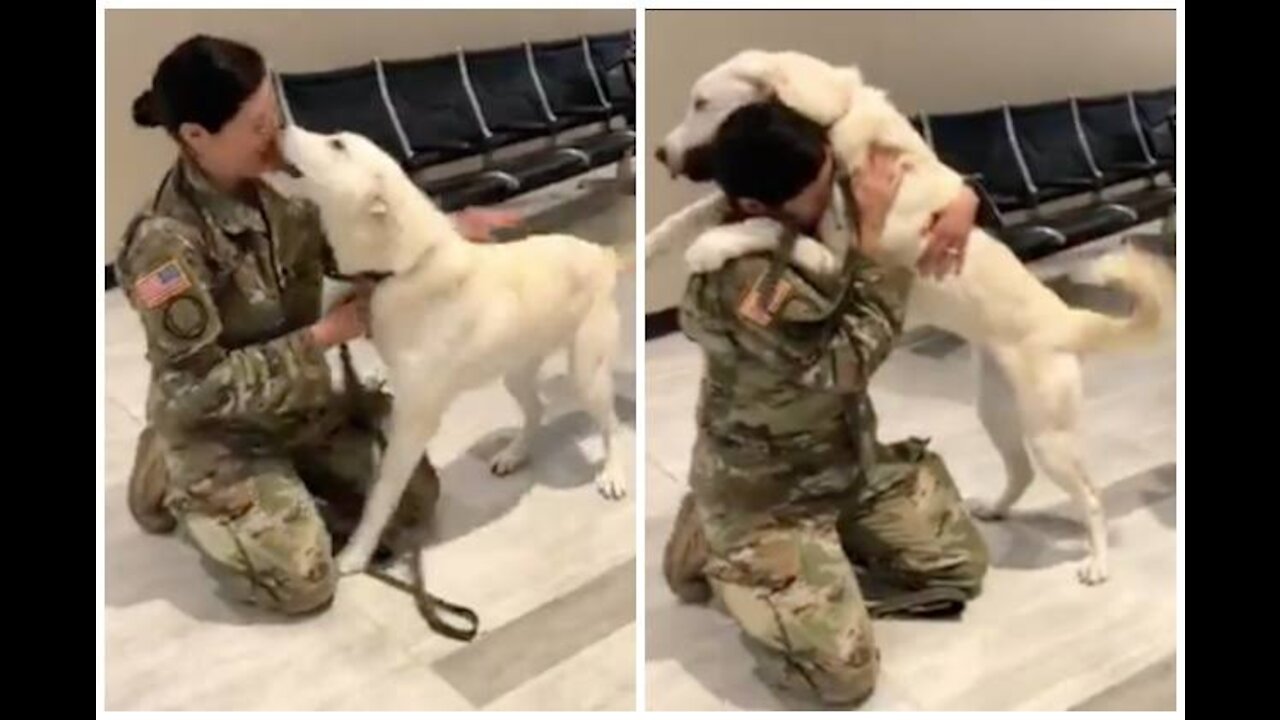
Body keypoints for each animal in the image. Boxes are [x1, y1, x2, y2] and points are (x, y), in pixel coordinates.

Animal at [267, 122, 627, 571]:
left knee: (611, 425)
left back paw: (613, 473)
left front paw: (356, 553)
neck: (400, 267)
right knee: (536, 410)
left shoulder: (413, 421)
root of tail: (602, 253)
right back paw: (515, 452)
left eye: (337, 144)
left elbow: (381, 494)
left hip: (586, 372)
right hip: (515, 369)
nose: (279, 125)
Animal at [650, 50, 1172, 584]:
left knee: (1091, 496)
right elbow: (703, 212)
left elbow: (769, 227)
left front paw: (712, 246)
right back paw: (997, 508)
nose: (659, 153)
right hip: (998, 413)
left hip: (1050, 436)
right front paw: (652, 244)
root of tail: (1068, 317)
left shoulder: (838, 260)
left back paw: (1097, 562)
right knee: (1022, 471)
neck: (838, 119)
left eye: (701, 103)